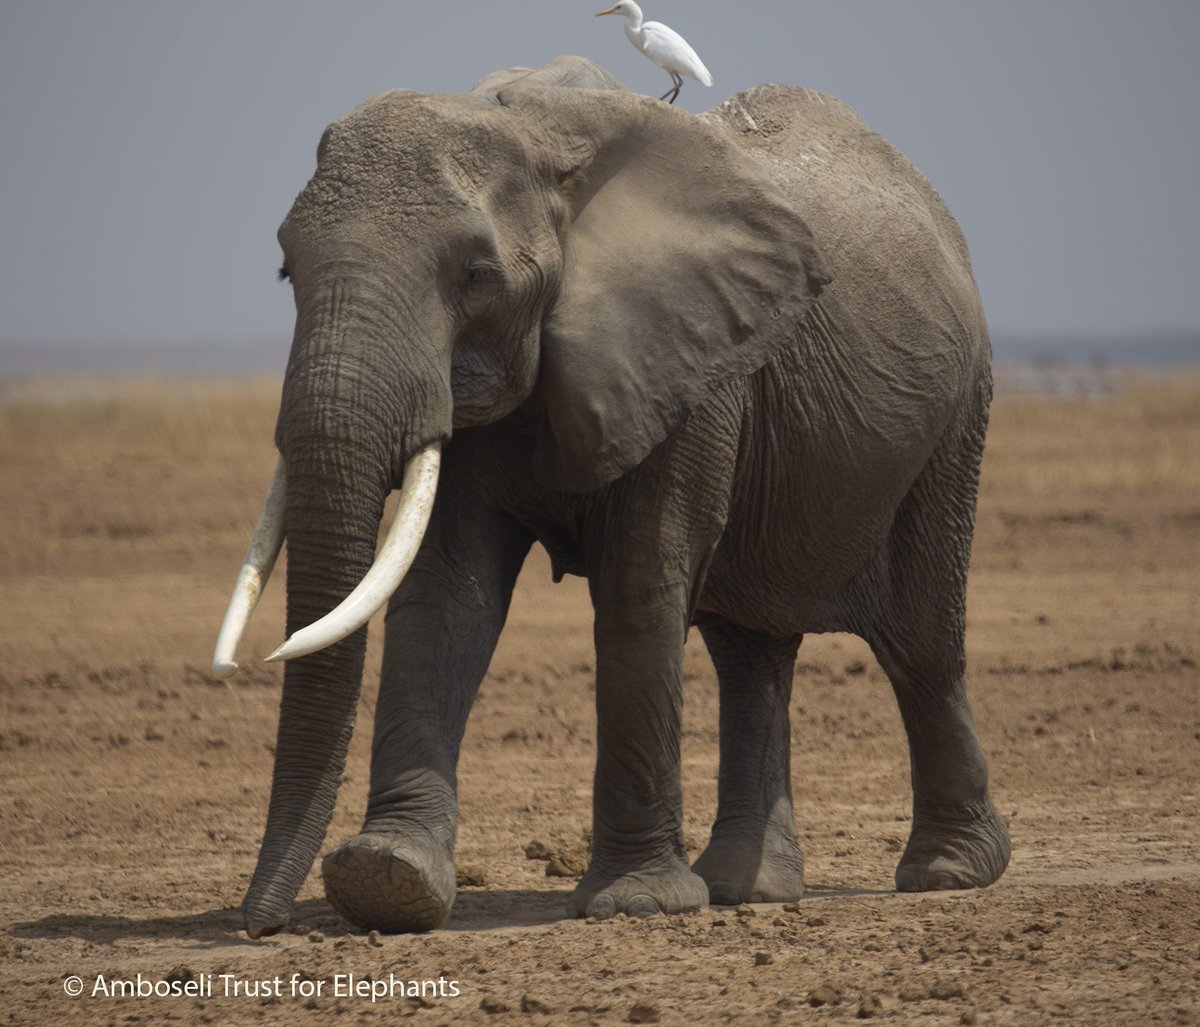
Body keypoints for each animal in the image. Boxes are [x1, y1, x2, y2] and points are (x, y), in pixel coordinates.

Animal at [213, 55, 1010, 938]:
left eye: (477, 277)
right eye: (287, 270)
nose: (258, 924)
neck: (538, 135)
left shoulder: (692, 361)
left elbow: (640, 583)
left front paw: (636, 903)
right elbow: (449, 593)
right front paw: (387, 880)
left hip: (954, 419)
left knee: (920, 639)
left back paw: (949, 872)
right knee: (751, 652)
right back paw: (747, 889)